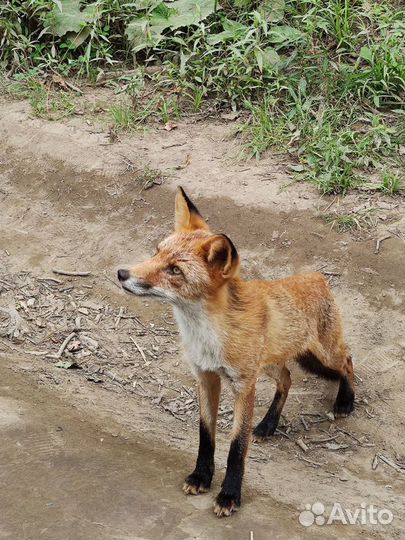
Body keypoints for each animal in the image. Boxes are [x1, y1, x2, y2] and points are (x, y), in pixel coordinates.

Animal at [117, 188, 354, 516]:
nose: (121, 273)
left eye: (175, 270)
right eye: (156, 252)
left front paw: (229, 494)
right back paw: (268, 424)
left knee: (347, 362)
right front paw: (201, 477)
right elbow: (206, 435)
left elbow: (236, 447)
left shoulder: (243, 386)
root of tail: (317, 277)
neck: (207, 336)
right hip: (267, 364)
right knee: (287, 378)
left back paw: (346, 401)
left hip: (323, 354)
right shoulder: (206, 376)